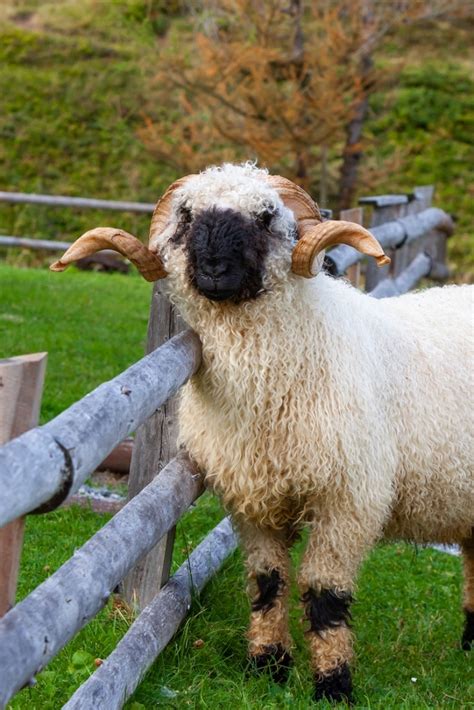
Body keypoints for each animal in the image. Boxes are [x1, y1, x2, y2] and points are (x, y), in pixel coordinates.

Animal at [50, 164, 472, 704]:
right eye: (186, 217)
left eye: (267, 217)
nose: (213, 267)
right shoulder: (250, 497)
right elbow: (268, 581)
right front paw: (267, 665)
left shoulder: (350, 501)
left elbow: (324, 592)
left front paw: (333, 685)